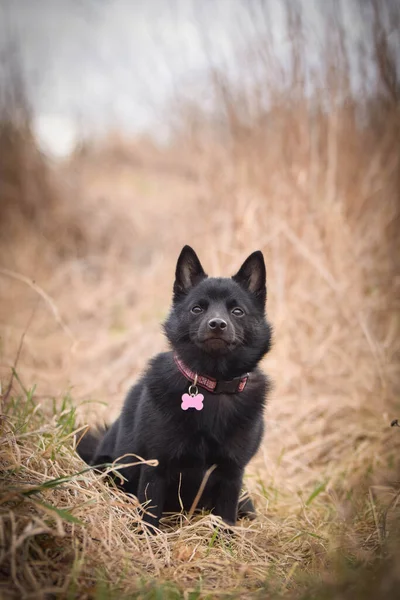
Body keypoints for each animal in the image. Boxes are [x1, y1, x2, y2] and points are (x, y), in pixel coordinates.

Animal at [77, 246, 272, 532]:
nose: (217, 324)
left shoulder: (232, 474)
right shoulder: (156, 467)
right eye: (197, 308)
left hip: (245, 500)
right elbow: (150, 516)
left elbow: (226, 520)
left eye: (237, 312)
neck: (212, 384)